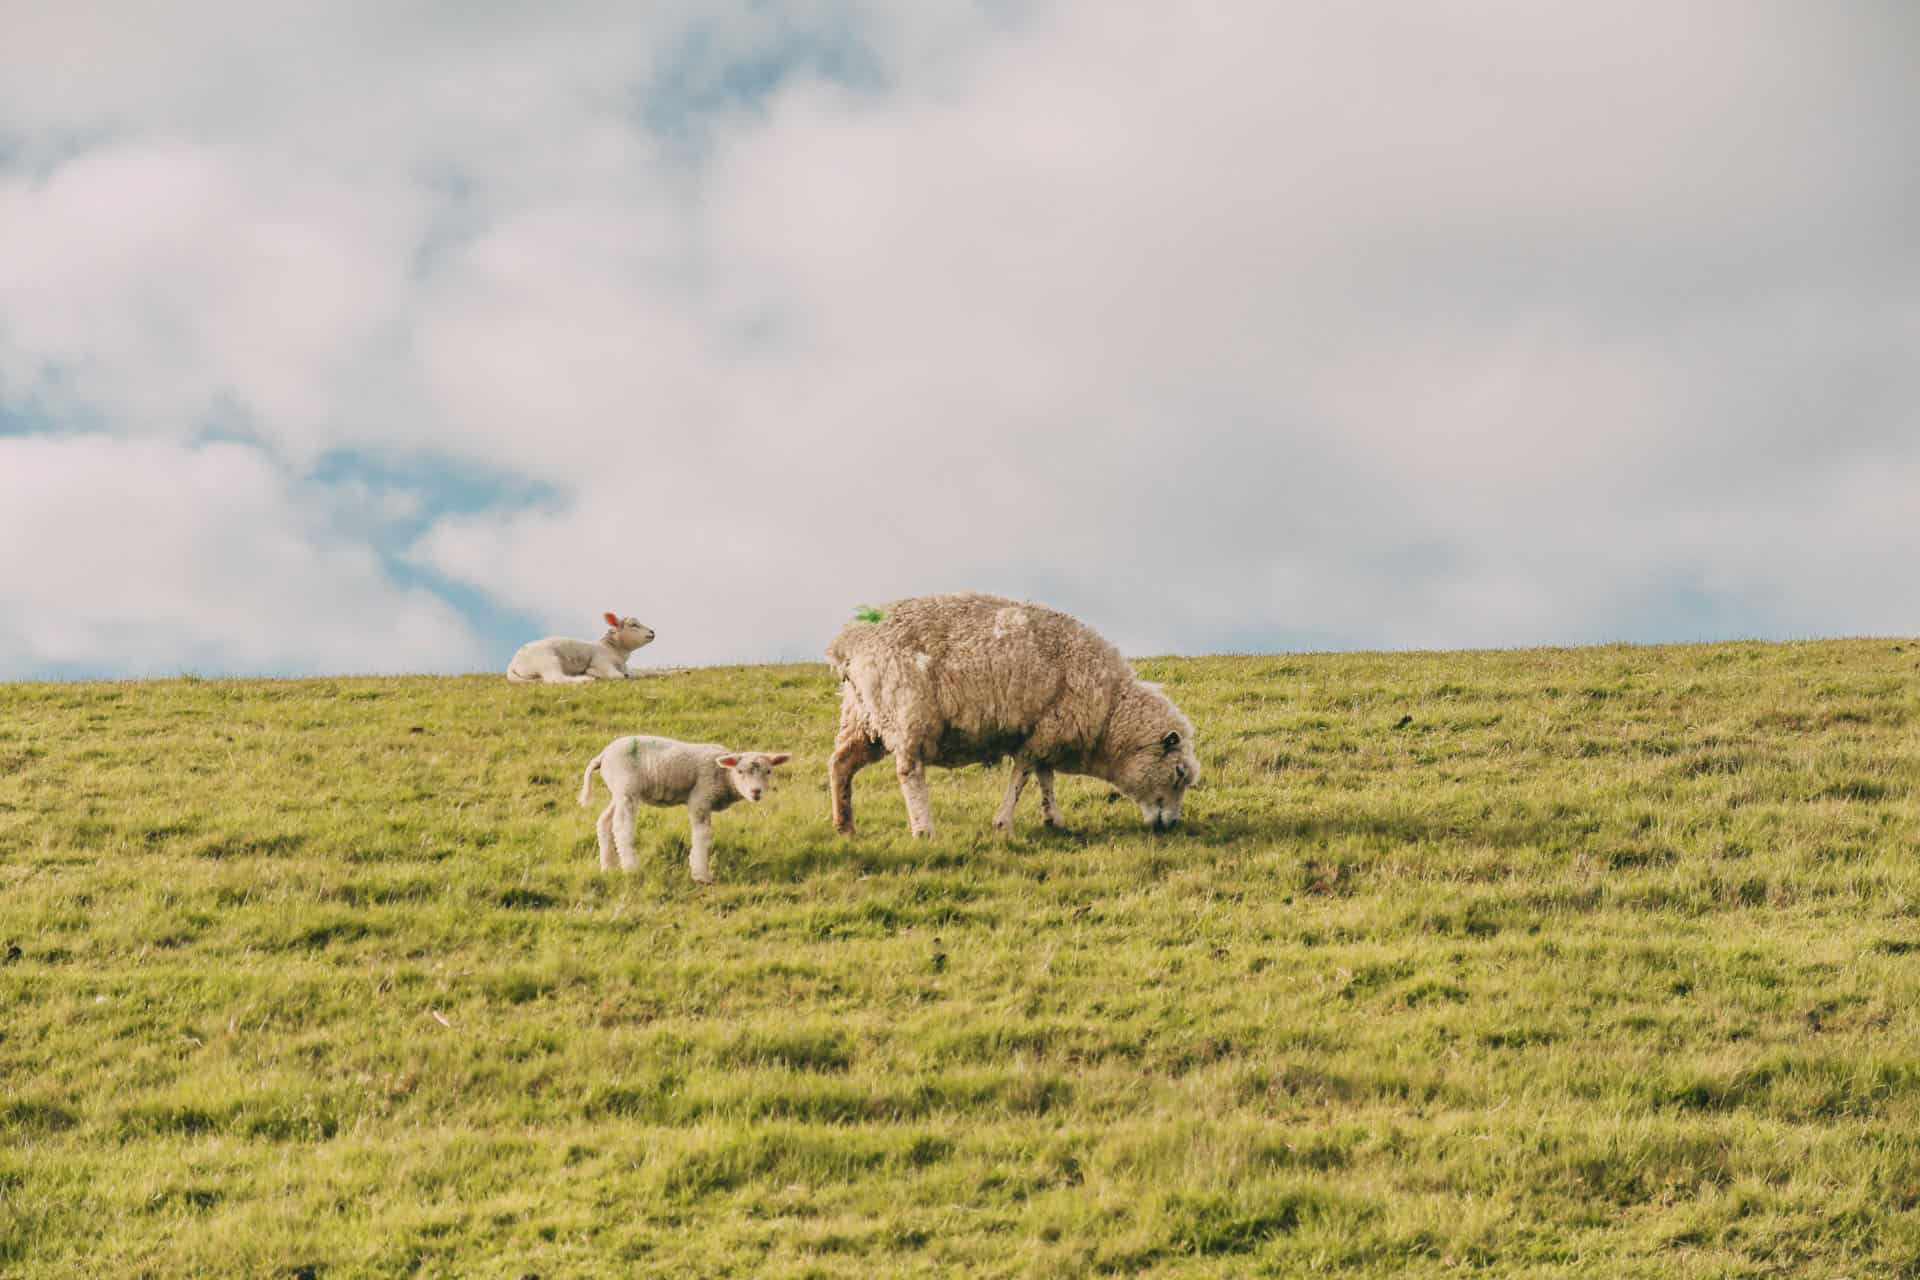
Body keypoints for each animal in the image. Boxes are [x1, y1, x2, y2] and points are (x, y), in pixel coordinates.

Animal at [506, 614, 656, 687]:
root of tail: (513, 662)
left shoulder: (627, 668)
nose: (652, 632)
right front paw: (591, 673)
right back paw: (584, 679)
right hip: (547, 659)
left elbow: (644, 672)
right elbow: (618, 676)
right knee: (554, 678)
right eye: (633, 625)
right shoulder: (601, 662)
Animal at [583, 736, 794, 886]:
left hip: (618, 791)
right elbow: (702, 836)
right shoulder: (700, 798)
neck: (724, 776)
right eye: (740, 772)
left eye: (768, 771)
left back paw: (608, 867)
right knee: (621, 827)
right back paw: (631, 869)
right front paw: (702, 875)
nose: (756, 792)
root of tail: (603, 755)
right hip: (627, 787)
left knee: (604, 822)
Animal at [825, 594, 1198, 840]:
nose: (1171, 825)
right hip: (906, 711)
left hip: (863, 718)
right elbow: (1023, 775)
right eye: (1178, 774)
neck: (1109, 712)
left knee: (841, 763)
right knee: (908, 771)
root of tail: (848, 642)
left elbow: (1046, 778)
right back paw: (923, 829)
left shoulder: (1048, 729)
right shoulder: (1044, 731)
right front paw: (1004, 823)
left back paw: (846, 826)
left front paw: (1054, 820)